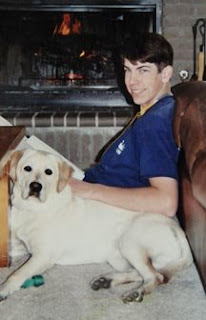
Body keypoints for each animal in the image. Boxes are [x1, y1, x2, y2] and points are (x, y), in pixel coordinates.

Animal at [0, 149, 193, 302]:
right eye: (27, 168)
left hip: (129, 241)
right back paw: (107, 280)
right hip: (118, 258)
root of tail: (178, 229)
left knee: (155, 276)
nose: (35, 186)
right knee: (143, 272)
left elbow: (18, 273)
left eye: (49, 172)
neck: (32, 209)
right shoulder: (18, 245)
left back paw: (136, 293)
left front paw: (5, 288)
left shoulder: (43, 255)